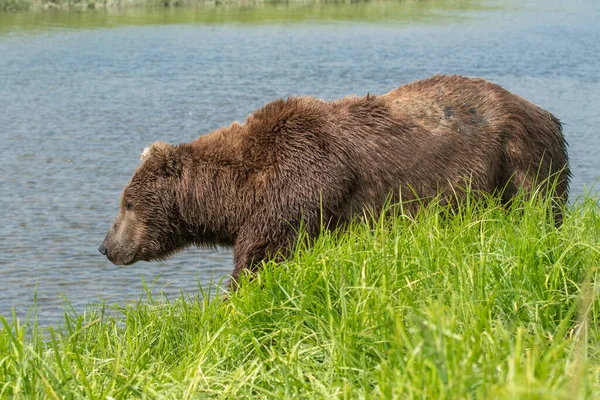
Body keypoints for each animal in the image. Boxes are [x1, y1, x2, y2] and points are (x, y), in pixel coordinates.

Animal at [99, 74, 572, 288]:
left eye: (126, 203)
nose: (105, 246)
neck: (239, 191)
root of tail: (546, 113)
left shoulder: (303, 180)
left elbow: (264, 256)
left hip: (516, 161)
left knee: (535, 210)